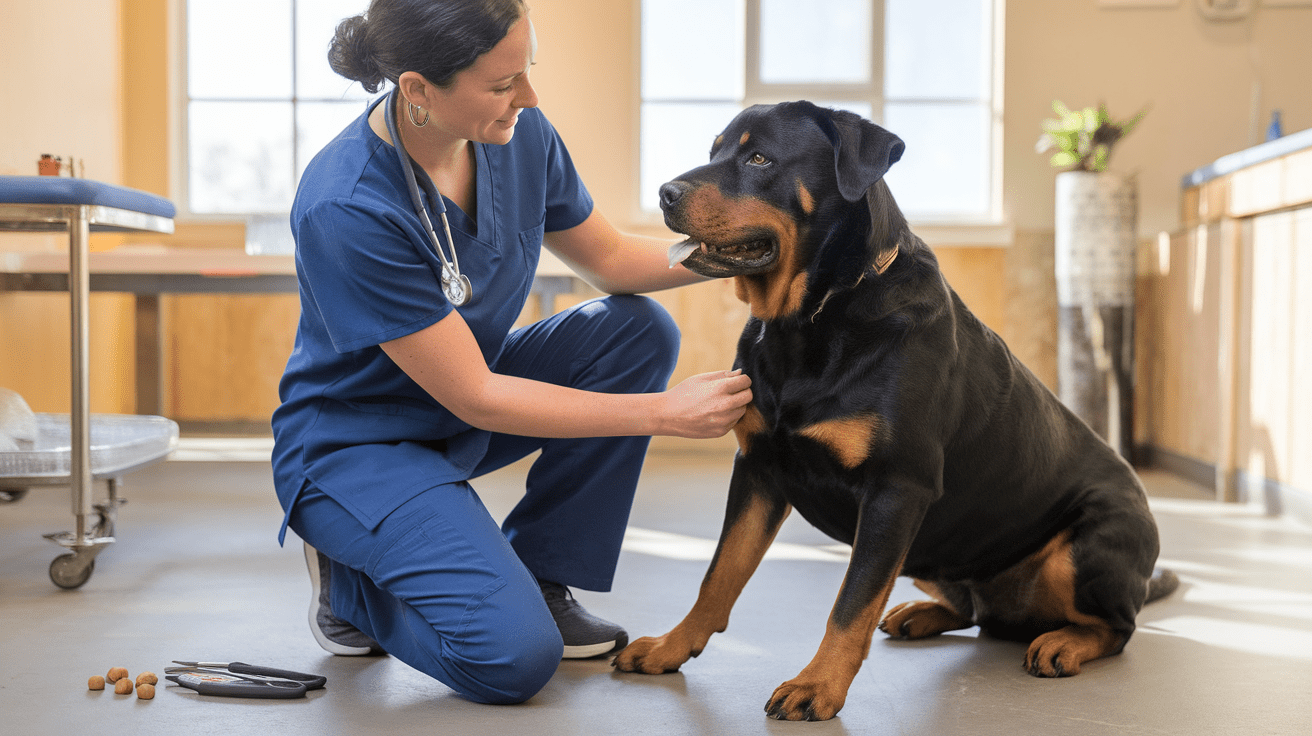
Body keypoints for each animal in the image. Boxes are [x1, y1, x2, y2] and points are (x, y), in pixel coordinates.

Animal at [614, 101, 1180, 718]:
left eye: (759, 157)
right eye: (714, 150)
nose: (666, 193)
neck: (811, 317)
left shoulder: (896, 489)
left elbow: (850, 602)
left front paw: (817, 686)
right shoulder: (759, 469)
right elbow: (719, 574)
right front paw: (671, 647)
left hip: (1083, 546)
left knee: (1116, 627)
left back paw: (1063, 643)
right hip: (931, 551)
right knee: (974, 609)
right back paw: (923, 613)